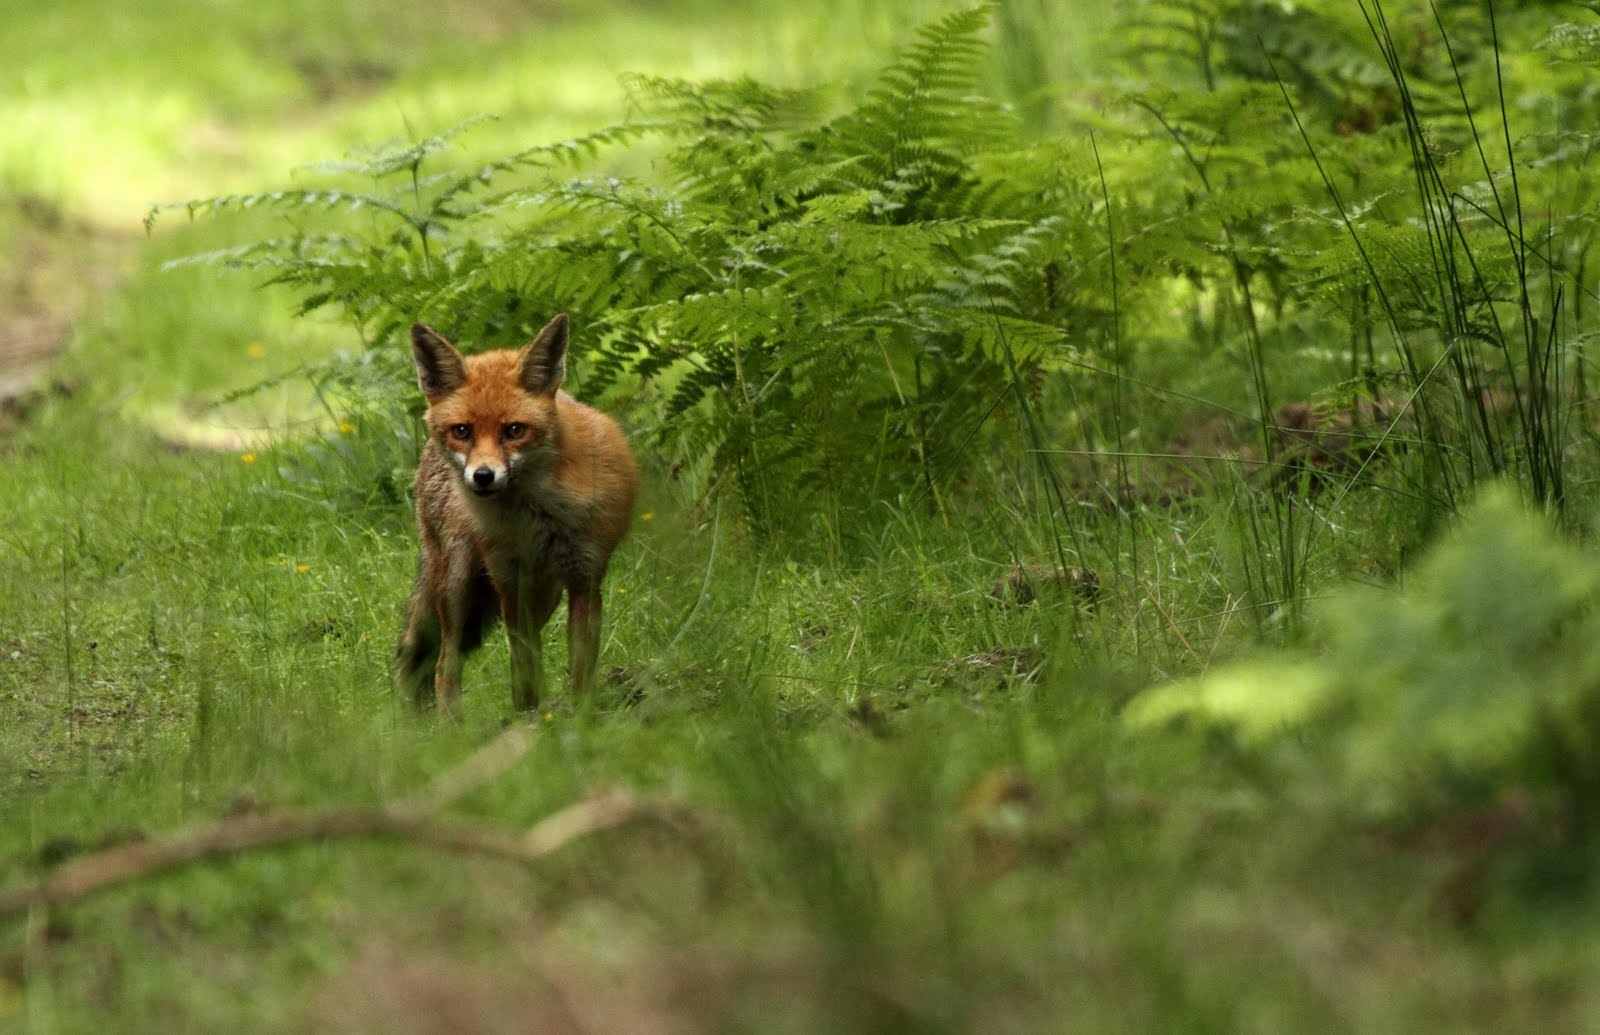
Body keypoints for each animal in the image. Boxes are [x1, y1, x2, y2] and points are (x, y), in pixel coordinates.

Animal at [393, 315, 636, 716]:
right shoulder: (509, 582)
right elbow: (523, 666)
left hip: (546, 594)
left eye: (514, 430)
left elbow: (579, 669)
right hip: (457, 582)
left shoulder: (585, 578)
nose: (483, 476)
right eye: (462, 431)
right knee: (445, 664)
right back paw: (450, 725)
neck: (537, 517)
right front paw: (528, 717)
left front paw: (580, 717)